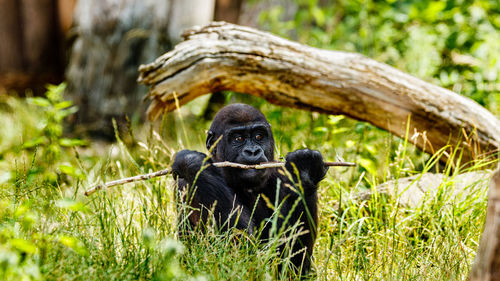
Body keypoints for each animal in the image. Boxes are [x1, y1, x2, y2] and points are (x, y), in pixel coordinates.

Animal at [172, 103, 328, 274]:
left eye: (259, 136)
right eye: (238, 138)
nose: (252, 151)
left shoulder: (278, 171)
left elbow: (292, 259)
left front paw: (304, 172)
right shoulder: (186, 186)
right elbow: (240, 251)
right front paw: (192, 162)